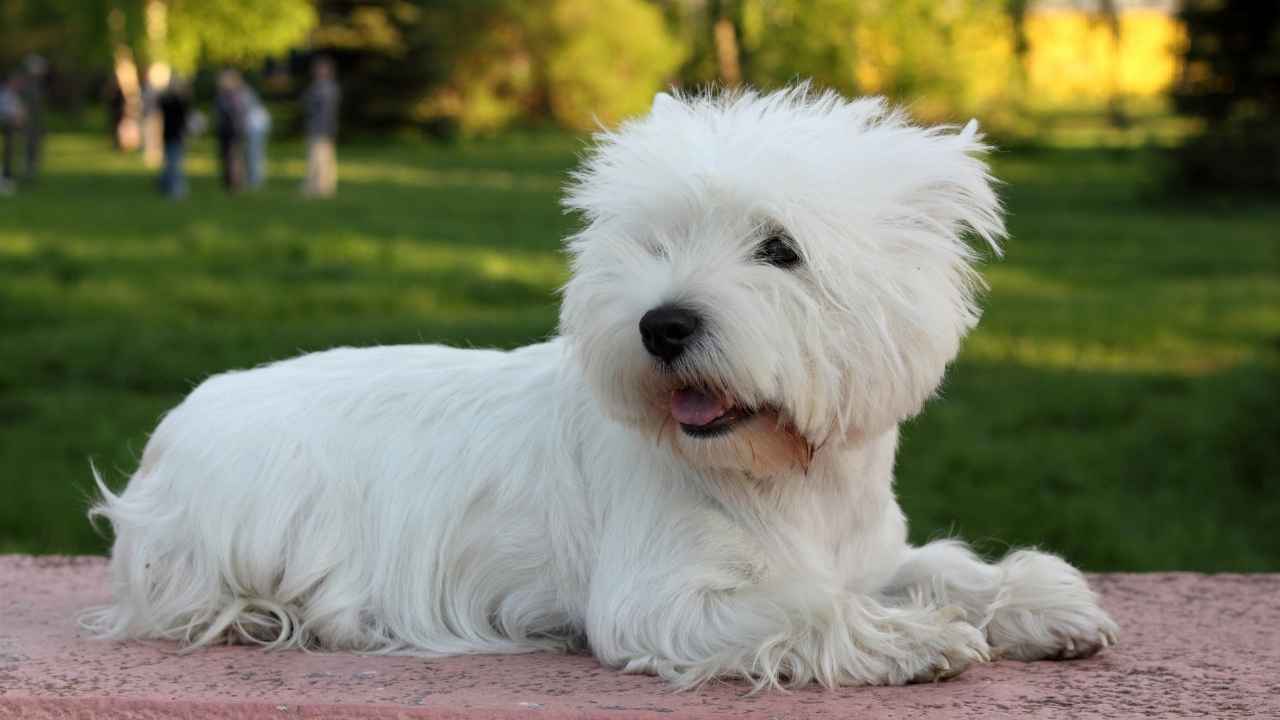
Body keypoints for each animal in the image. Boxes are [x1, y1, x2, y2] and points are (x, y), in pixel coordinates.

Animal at [90, 87, 1116, 686]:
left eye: (779, 248)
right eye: (653, 242)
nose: (663, 326)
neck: (786, 476)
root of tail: (175, 424)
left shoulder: (863, 547)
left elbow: (939, 566)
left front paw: (1042, 605)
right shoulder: (660, 596)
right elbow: (804, 605)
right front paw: (917, 640)